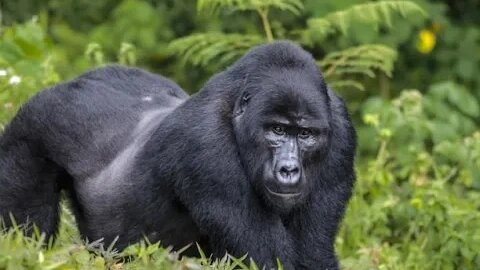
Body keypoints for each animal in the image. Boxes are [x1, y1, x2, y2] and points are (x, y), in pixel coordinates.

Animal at [0, 41, 356, 268]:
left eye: (305, 135)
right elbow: (267, 259)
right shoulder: (206, 148)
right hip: (33, 123)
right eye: (277, 130)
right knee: (26, 232)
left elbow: (312, 254)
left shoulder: (340, 132)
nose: (289, 169)